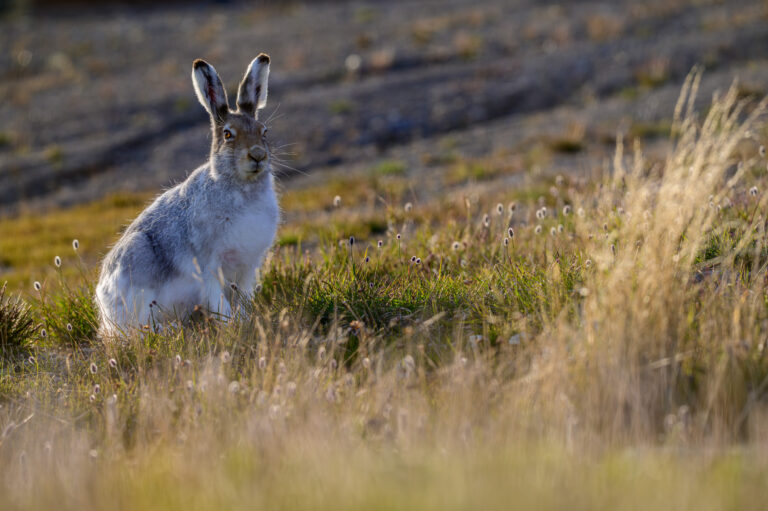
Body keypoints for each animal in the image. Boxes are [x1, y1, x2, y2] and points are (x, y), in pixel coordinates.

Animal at [95, 54, 279, 337]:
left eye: (264, 130)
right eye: (228, 134)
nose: (258, 155)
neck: (241, 186)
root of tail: (103, 304)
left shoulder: (247, 268)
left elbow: (244, 299)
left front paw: (247, 319)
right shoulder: (208, 267)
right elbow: (219, 302)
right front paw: (234, 325)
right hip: (136, 266)